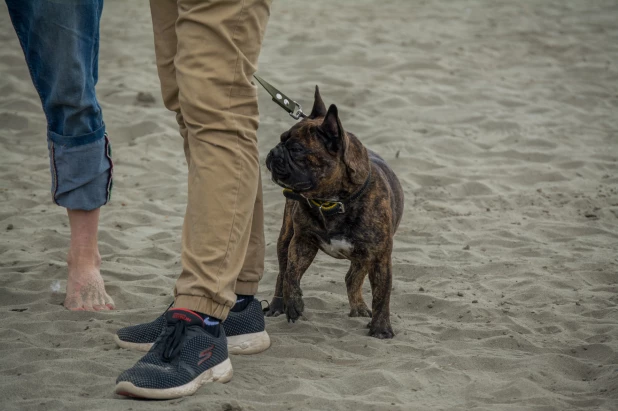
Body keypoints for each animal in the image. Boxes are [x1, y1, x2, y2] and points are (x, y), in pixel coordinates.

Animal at [262, 86, 402, 338]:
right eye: (280, 139)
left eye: (296, 149)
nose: (274, 151)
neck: (331, 201)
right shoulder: (301, 241)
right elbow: (291, 273)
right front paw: (293, 303)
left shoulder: (379, 257)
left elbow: (382, 294)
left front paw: (381, 328)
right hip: (285, 237)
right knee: (281, 271)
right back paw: (278, 304)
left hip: (363, 256)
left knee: (352, 278)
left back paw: (359, 308)